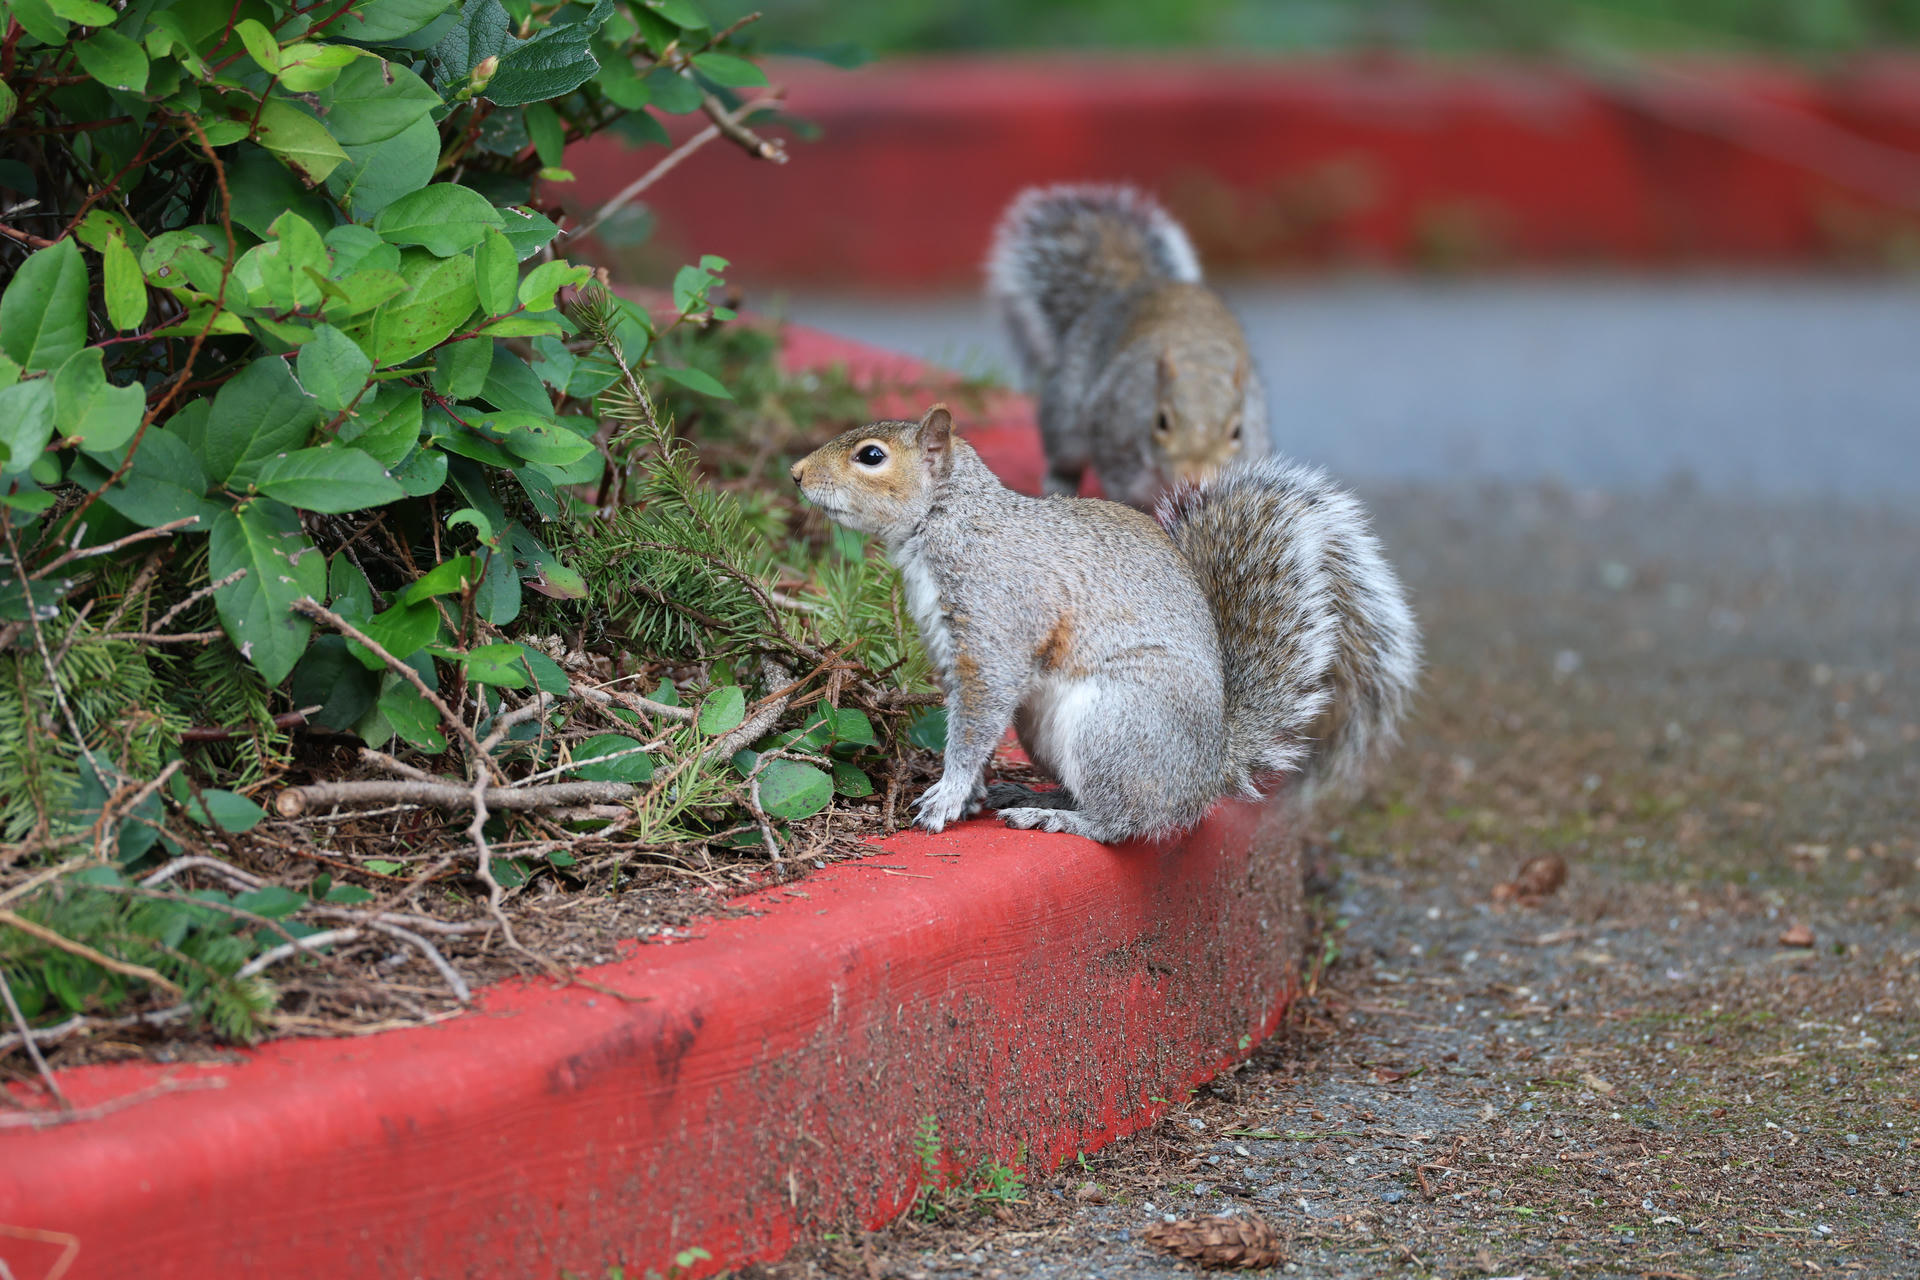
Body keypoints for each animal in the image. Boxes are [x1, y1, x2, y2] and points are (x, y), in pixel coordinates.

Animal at [790, 404, 1419, 843]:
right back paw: (1039, 797)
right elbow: (972, 724)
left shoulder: (997, 623)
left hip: (1114, 726)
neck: (949, 522)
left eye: (871, 456)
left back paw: (1063, 821)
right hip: (1045, 729)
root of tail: (1207, 773)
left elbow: (975, 722)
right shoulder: (951, 649)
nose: (795, 473)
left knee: (1127, 822)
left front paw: (946, 795)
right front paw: (971, 792)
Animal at [987, 183, 1270, 510]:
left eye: (1238, 432)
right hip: (1065, 411)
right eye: (1161, 421)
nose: (1194, 479)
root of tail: (1135, 285)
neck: (1197, 362)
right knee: (1065, 457)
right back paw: (1060, 484)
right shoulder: (1113, 436)